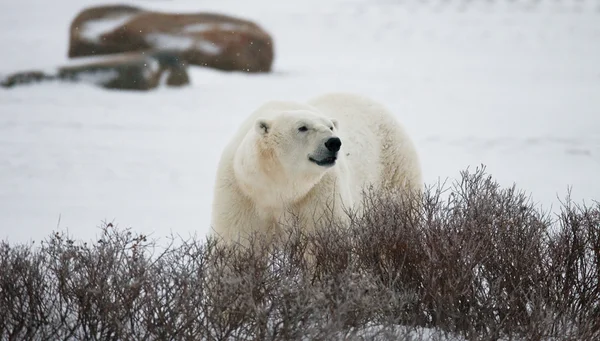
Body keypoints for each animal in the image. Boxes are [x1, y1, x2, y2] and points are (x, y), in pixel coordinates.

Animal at [211, 90, 422, 244]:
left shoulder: (320, 193)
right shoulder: (241, 193)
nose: (334, 142)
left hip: (393, 168)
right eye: (302, 127)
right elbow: (237, 242)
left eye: (330, 127)